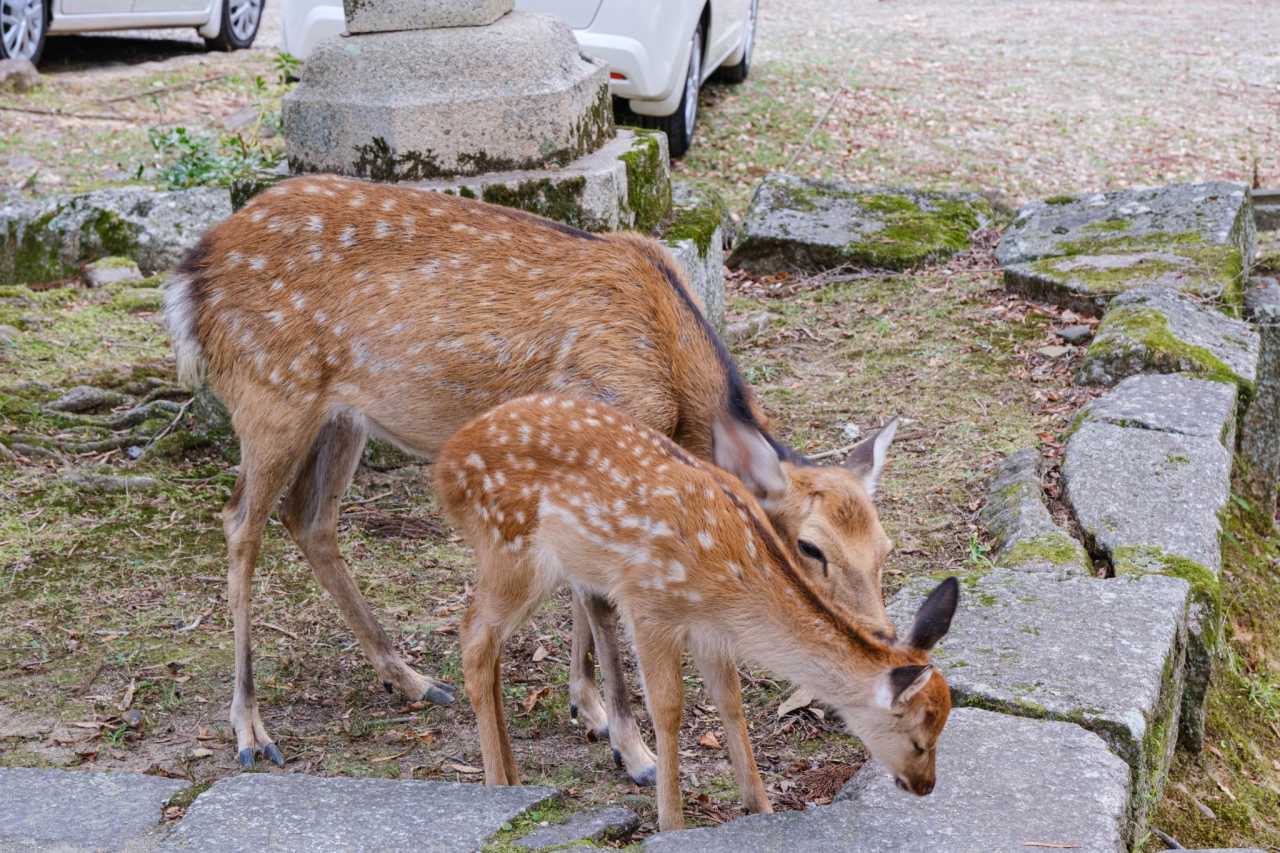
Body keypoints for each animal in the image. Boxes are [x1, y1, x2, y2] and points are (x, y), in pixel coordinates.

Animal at [165, 172, 906, 768]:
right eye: (810, 548)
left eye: (884, 548)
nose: (883, 638)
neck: (673, 395)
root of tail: (190, 276)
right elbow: (601, 597)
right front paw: (633, 748)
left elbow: (585, 586)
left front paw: (590, 710)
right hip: (270, 392)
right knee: (241, 524)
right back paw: (250, 729)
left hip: (340, 414)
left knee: (310, 518)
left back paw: (410, 677)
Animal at [435, 394, 957, 829]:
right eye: (919, 739)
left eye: (941, 730)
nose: (926, 785)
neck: (731, 586)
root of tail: (445, 462)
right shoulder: (648, 606)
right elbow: (668, 710)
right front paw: (671, 821)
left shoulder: (712, 632)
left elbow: (730, 702)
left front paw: (760, 807)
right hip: (511, 550)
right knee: (473, 637)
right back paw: (497, 784)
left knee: (488, 645)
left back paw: (514, 774)